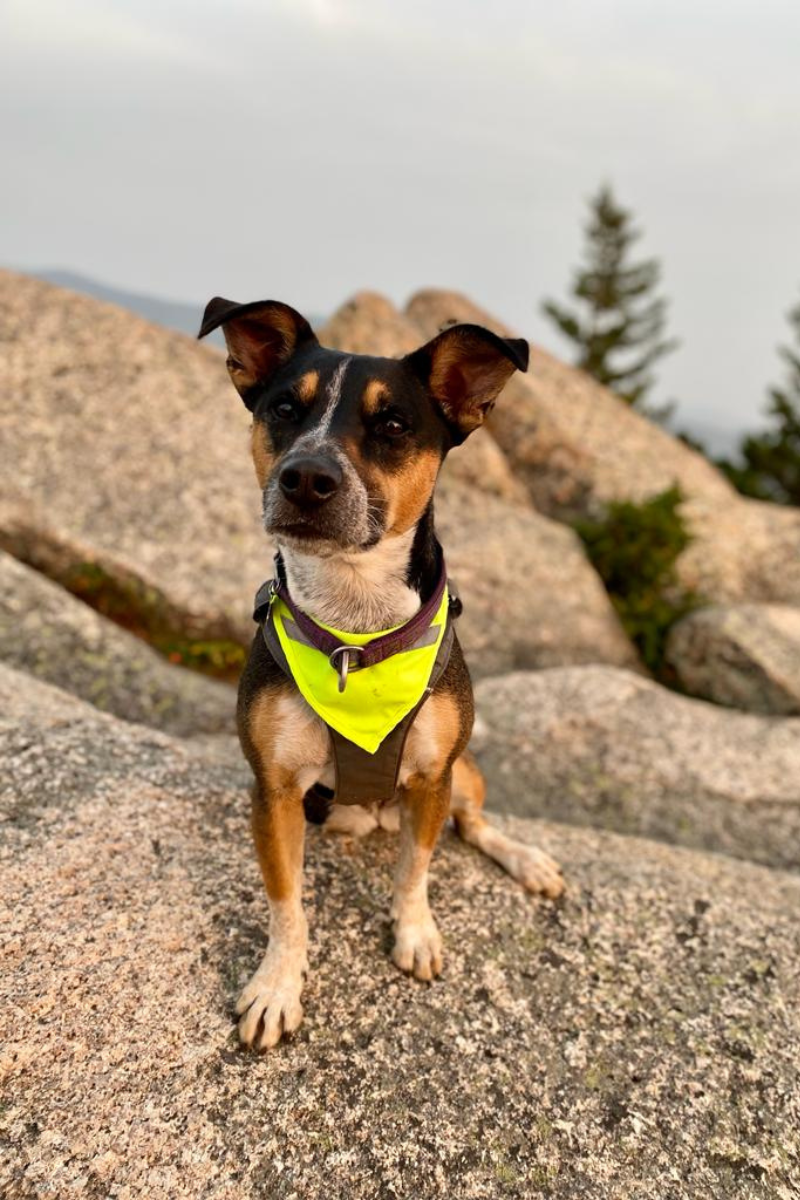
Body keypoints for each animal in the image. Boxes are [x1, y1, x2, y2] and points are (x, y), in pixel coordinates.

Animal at [199, 300, 563, 1051]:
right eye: (285, 409)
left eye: (392, 425)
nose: (307, 477)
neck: (355, 627)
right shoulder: (274, 789)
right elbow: (287, 902)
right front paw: (277, 986)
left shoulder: (433, 777)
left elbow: (416, 868)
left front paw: (414, 933)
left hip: (467, 769)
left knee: (474, 825)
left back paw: (527, 860)